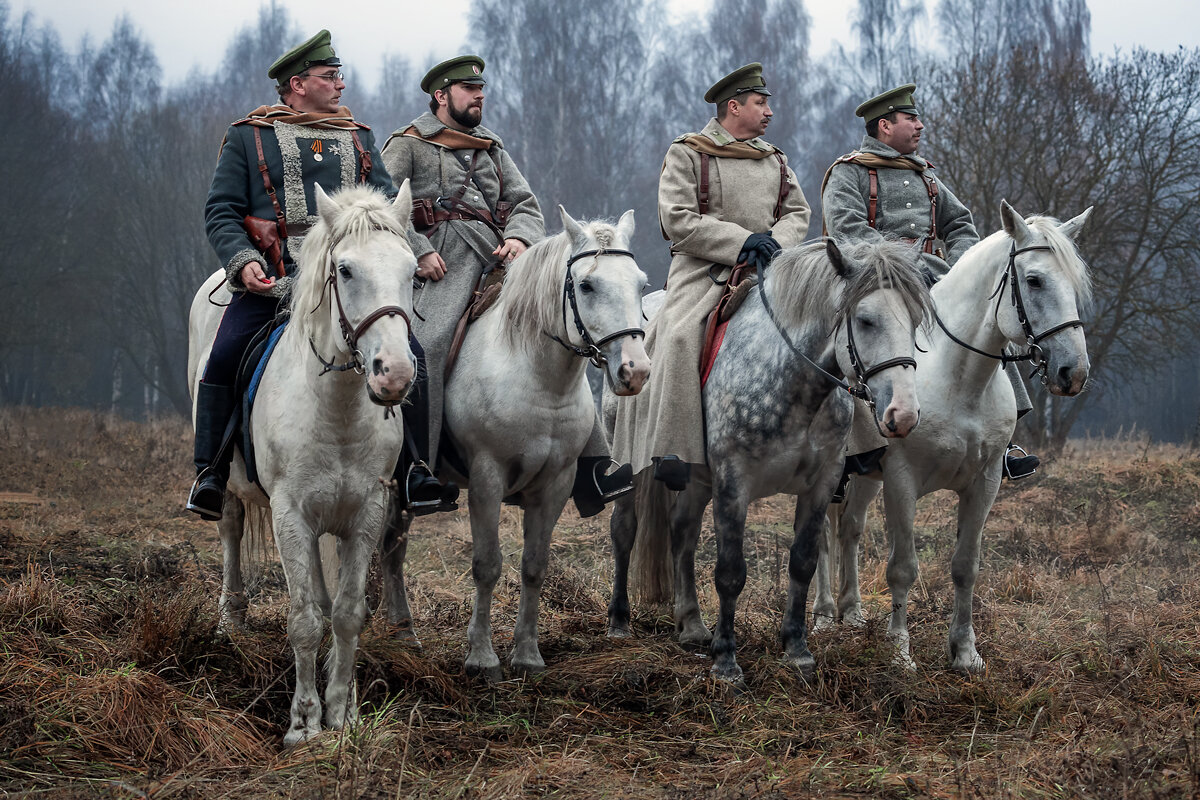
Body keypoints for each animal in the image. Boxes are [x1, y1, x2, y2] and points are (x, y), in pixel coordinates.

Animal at [184, 181, 415, 743]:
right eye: (346, 270)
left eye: (413, 272)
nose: (394, 375)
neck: (337, 409)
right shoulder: (290, 514)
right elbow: (304, 619)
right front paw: (304, 722)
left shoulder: (364, 514)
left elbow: (347, 614)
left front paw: (342, 711)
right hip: (235, 496)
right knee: (230, 528)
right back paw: (230, 623)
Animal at [381, 209, 652, 681]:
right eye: (586, 285)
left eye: (640, 283)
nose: (634, 371)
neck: (538, 378)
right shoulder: (487, 480)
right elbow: (487, 566)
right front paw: (482, 657)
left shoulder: (556, 485)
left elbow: (534, 567)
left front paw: (527, 655)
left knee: (391, 550)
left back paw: (400, 631)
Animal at [604, 237, 931, 681]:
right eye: (865, 320)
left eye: (914, 320)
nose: (904, 414)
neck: (790, 379)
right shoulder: (733, 484)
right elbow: (730, 573)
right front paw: (726, 661)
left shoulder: (822, 484)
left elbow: (803, 562)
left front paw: (797, 650)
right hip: (630, 466)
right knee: (625, 531)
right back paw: (619, 622)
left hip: (696, 482)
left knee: (682, 533)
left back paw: (691, 626)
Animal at [820, 199, 1094, 671]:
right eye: (1034, 280)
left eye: (1074, 282)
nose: (1072, 371)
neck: (959, 379)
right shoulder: (902, 482)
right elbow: (903, 567)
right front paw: (900, 652)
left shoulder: (984, 483)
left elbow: (966, 566)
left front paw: (965, 653)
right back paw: (820, 617)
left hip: (864, 476)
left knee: (850, 529)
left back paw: (851, 612)